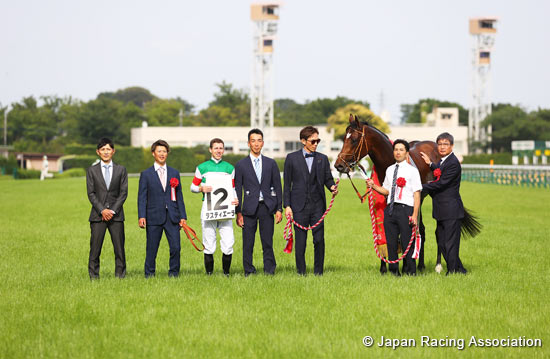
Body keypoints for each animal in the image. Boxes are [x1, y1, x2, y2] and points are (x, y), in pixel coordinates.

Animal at [334, 114, 480, 274]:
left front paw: (404, 267)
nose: (338, 165)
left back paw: (437, 265)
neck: (391, 162)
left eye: (354, 139)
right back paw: (421, 265)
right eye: (344, 138)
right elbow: (387, 232)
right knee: (421, 230)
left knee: (437, 231)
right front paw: (384, 268)